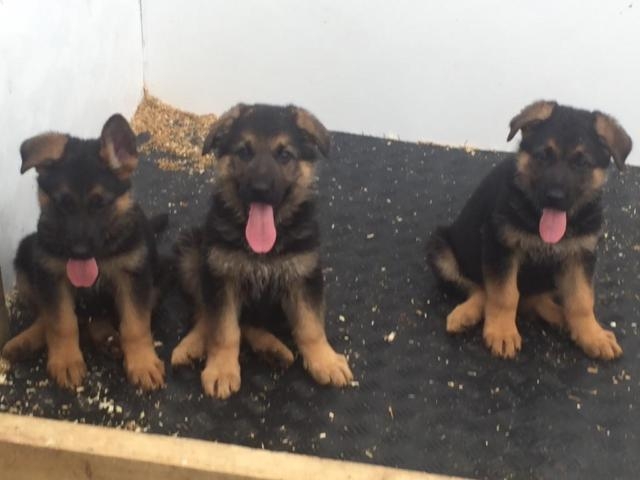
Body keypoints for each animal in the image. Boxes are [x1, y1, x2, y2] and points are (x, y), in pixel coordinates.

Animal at [2, 114, 166, 392]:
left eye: (100, 204)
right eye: (62, 204)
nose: (79, 252)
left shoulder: (134, 278)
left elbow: (135, 325)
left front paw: (142, 363)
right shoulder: (51, 276)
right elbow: (61, 323)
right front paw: (66, 361)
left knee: (96, 318)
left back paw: (107, 338)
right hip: (26, 255)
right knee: (51, 317)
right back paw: (23, 342)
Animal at [172, 102, 352, 398]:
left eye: (284, 155)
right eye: (244, 152)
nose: (260, 189)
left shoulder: (304, 276)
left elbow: (310, 326)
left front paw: (324, 360)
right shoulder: (221, 277)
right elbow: (223, 330)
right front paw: (221, 369)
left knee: (249, 323)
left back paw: (273, 349)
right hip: (192, 252)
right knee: (206, 314)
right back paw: (192, 344)